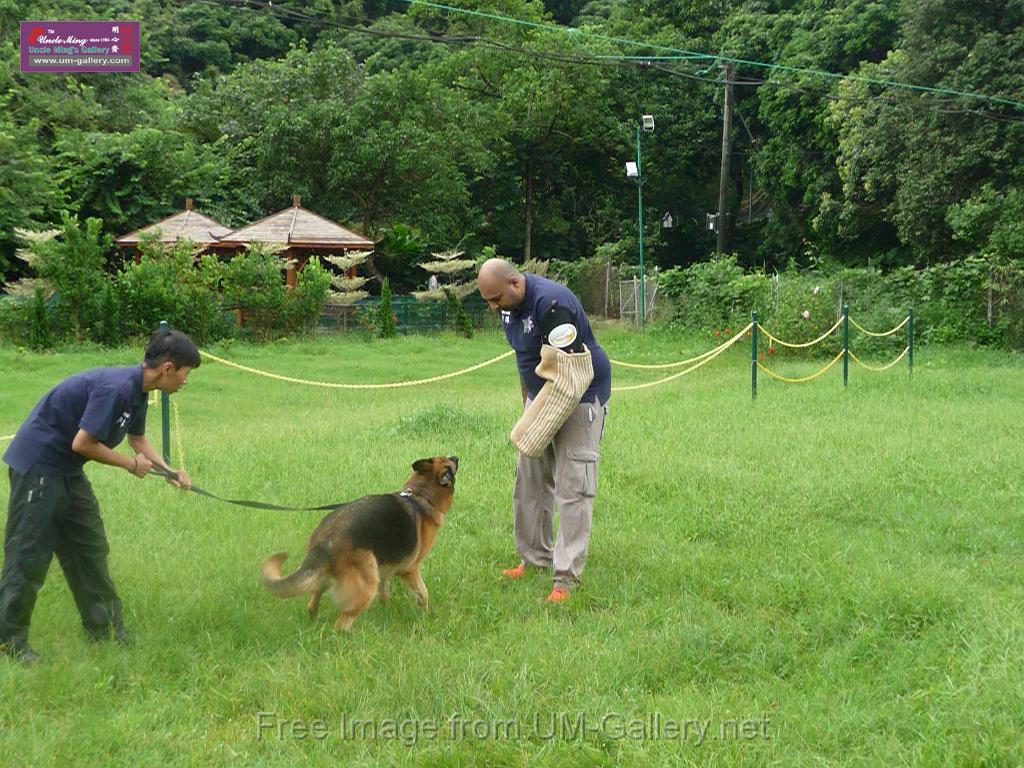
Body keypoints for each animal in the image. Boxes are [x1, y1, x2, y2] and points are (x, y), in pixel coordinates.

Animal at [262, 456, 458, 630]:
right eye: (450, 463)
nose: (457, 456)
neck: (420, 496)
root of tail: (325, 542)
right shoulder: (410, 569)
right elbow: (423, 594)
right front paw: (426, 615)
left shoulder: (385, 569)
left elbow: (384, 593)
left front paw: (386, 610)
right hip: (366, 585)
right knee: (342, 622)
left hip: (330, 577)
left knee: (312, 602)